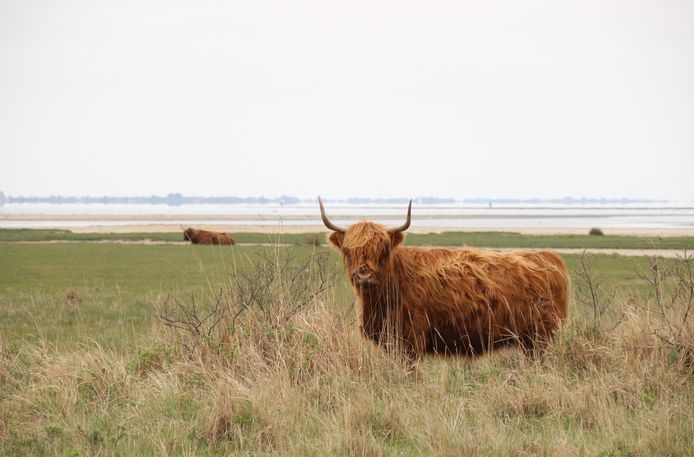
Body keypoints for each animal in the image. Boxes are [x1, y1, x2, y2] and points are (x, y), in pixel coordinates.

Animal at [320, 198, 572, 358]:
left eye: (381, 250)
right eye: (349, 251)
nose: (364, 274)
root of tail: (548, 256)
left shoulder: (410, 340)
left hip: (540, 337)